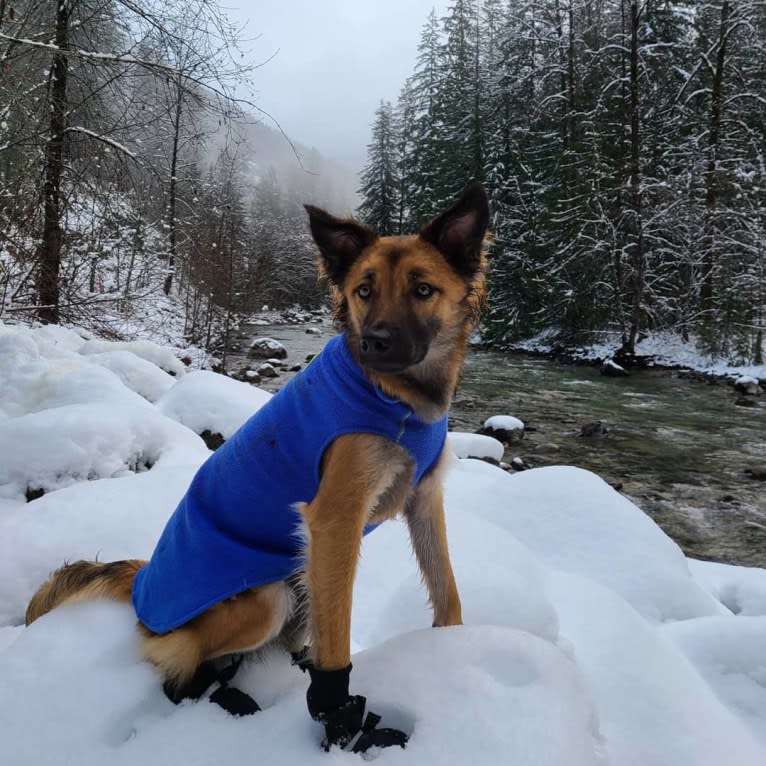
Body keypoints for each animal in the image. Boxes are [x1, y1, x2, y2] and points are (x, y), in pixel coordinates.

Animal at [27, 182, 492, 756]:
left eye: (423, 289)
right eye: (363, 290)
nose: (375, 342)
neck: (396, 398)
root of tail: (142, 585)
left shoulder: (424, 498)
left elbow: (446, 587)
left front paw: (453, 647)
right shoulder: (334, 522)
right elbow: (338, 645)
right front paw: (340, 725)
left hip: (298, 577)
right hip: (266, 595)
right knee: (177, 665)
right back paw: (225, 699)